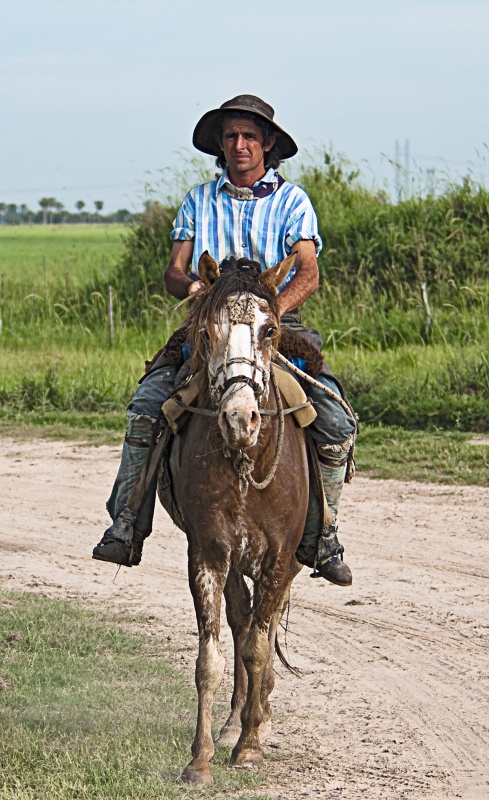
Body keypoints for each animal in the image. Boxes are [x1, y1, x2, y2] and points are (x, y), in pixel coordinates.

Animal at [164, 252, 308, 788]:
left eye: (269, 330)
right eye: (208, 331)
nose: (239, 418)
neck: (245, 461)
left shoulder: (278, 558)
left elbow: (257, 647)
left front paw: (249, 747)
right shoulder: (208, 553)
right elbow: (212, 656)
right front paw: (202, 758)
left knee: (260, 629)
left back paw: (257, 717)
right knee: (241, 620)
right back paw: (235, 721)